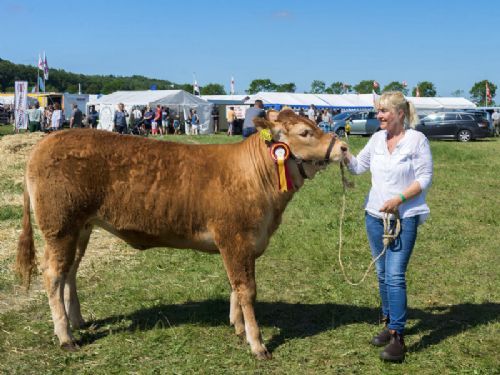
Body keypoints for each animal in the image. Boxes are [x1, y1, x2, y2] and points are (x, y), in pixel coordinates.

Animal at [16, 110, 348, 360]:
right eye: (305, 132)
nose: (343, 147)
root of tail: (46, 142)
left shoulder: (241, 244)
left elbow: (235, 288)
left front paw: (238, 327)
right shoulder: (235, 238)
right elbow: (246, 290)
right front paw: (257, 343)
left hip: (81, 229)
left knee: (70, 272)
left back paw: (78, 320)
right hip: (60, 227)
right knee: (53, 275)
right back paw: (66, 336)